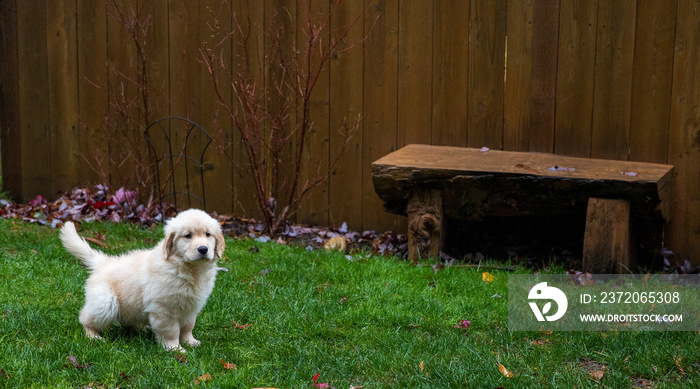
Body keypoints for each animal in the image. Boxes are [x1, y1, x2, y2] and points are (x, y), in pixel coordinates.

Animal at [60, 209, 226, 352]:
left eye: (208, 234)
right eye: (188, 236)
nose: (203, 249)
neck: (188, 268)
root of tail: (104, 262)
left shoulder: (191, 307)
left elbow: (188, 327)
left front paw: (190, 342)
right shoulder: (163, 308)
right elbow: (171, 330)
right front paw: (174, 348)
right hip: (105, 302)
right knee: (85, 318)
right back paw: (93, 336)